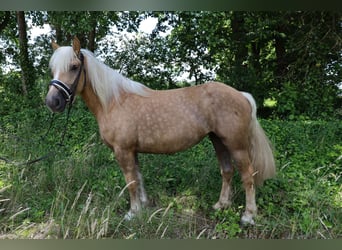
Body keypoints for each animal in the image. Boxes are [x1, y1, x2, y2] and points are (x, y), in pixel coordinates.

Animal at [44, 36, 276, 225]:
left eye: (74, 66)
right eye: (52, 69)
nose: (52, 102)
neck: (114, 102)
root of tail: (241, 95)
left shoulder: (123, 151)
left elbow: (130, 182)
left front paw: (132, 212)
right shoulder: (132, 151)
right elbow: (138, 178)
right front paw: (143, 206)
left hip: (236, 145)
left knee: (248, 176)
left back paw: (248, 216)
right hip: (218, 141)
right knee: (227, 171)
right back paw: (221, 205)